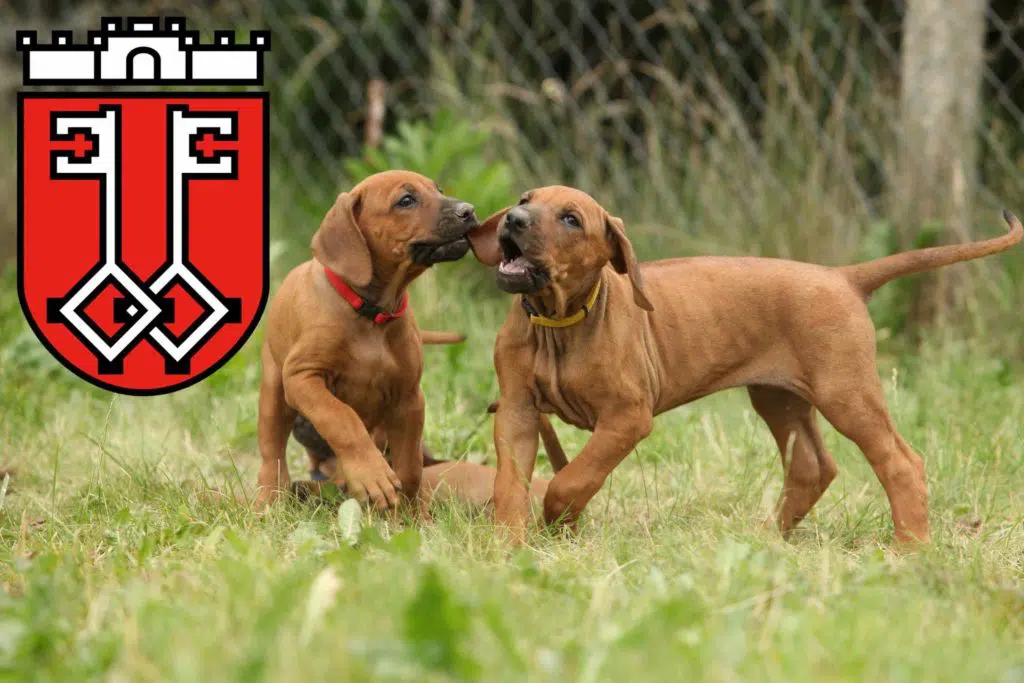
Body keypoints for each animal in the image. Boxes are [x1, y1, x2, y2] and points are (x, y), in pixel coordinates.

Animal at [256, 171, 479, 511]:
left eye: (438, 189)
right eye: (406, 200)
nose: (468, 211)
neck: (371, 313)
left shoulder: (409, 398)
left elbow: (410, 465)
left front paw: (412, 515)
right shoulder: (303, 377)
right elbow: (341, 419)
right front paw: (372, 475)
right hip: (274, 391)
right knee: (273, 455)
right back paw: (268, 500)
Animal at [468, 185, 1019, 544]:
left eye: (571, 219)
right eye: (524, 200)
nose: (513, 221)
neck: (559, 322)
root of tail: (843, 277)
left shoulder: (627, 417)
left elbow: (573, 478)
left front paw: (557, 520)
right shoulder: (517, 411)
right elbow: (510, 482)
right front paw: (509, 545)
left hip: (846, 394)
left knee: (901, 463)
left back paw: (911, 549)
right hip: (780, 397)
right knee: (812, 466)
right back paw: (768, 541)